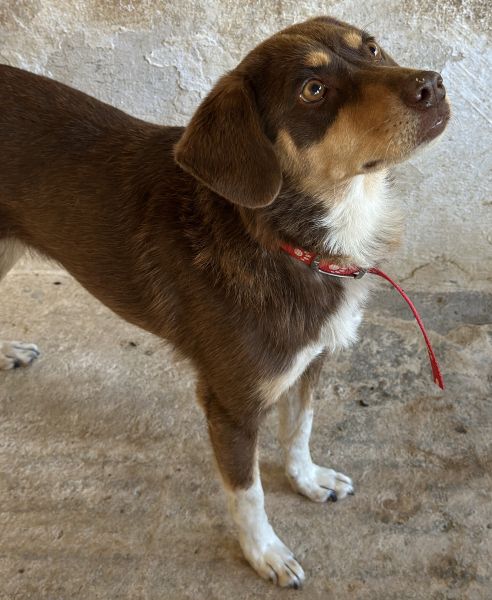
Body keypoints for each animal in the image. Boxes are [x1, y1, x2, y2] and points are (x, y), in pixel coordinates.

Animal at [0, 16, 449, 587]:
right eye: (312, 90)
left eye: (370, 48)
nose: (433, 85)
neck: (284, 239)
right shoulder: (231, 405)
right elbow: (248, 493)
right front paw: (264, 553)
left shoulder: (310, 362)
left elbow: (299, 430)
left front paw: (307, 479)